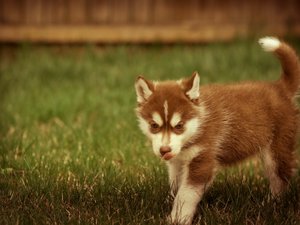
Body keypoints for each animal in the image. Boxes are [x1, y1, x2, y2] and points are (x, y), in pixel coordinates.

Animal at [135, 37, 298, 224]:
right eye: (154, 125)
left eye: (179, 126)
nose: (164, 150)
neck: (198, 124)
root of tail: (280, 88)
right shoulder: (178, 162)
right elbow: (176, 186)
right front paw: (170, 204)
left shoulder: (203, 160)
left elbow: (186, 194)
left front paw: (178, 218)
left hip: (277, 149)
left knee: (280, 178)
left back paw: (270, 205)